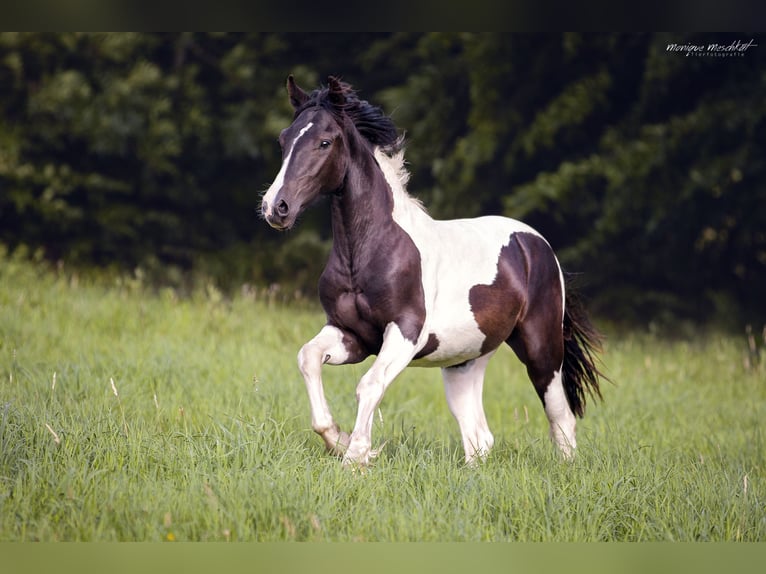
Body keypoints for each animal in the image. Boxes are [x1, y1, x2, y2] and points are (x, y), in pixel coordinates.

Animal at [260, 74, 608, 468]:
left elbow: (369, 385)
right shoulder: (351, 334)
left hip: (541, 349)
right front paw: (339, 440)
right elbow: (308, 357)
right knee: (479, 438)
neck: (368, 253)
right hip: (465, 362)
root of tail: (537, 244)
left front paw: (357, 457)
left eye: (324, 141)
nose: (276, 207)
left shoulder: (405, 333)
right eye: (283, 139)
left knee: (561, 419)